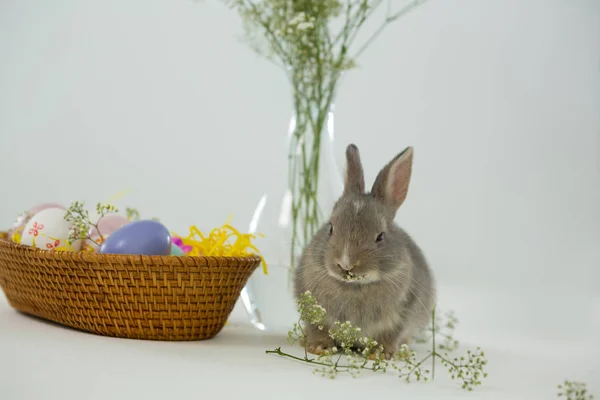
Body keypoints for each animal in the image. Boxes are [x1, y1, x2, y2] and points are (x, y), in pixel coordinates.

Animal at [292, 143, 436, 360]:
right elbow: (318, 329)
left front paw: (380, 354)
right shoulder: (313, 313)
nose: (346, 264)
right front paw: (319, 348)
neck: (354, 286)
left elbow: (390, 336)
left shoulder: (401, 317)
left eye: (380, 236)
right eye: (331, 228)